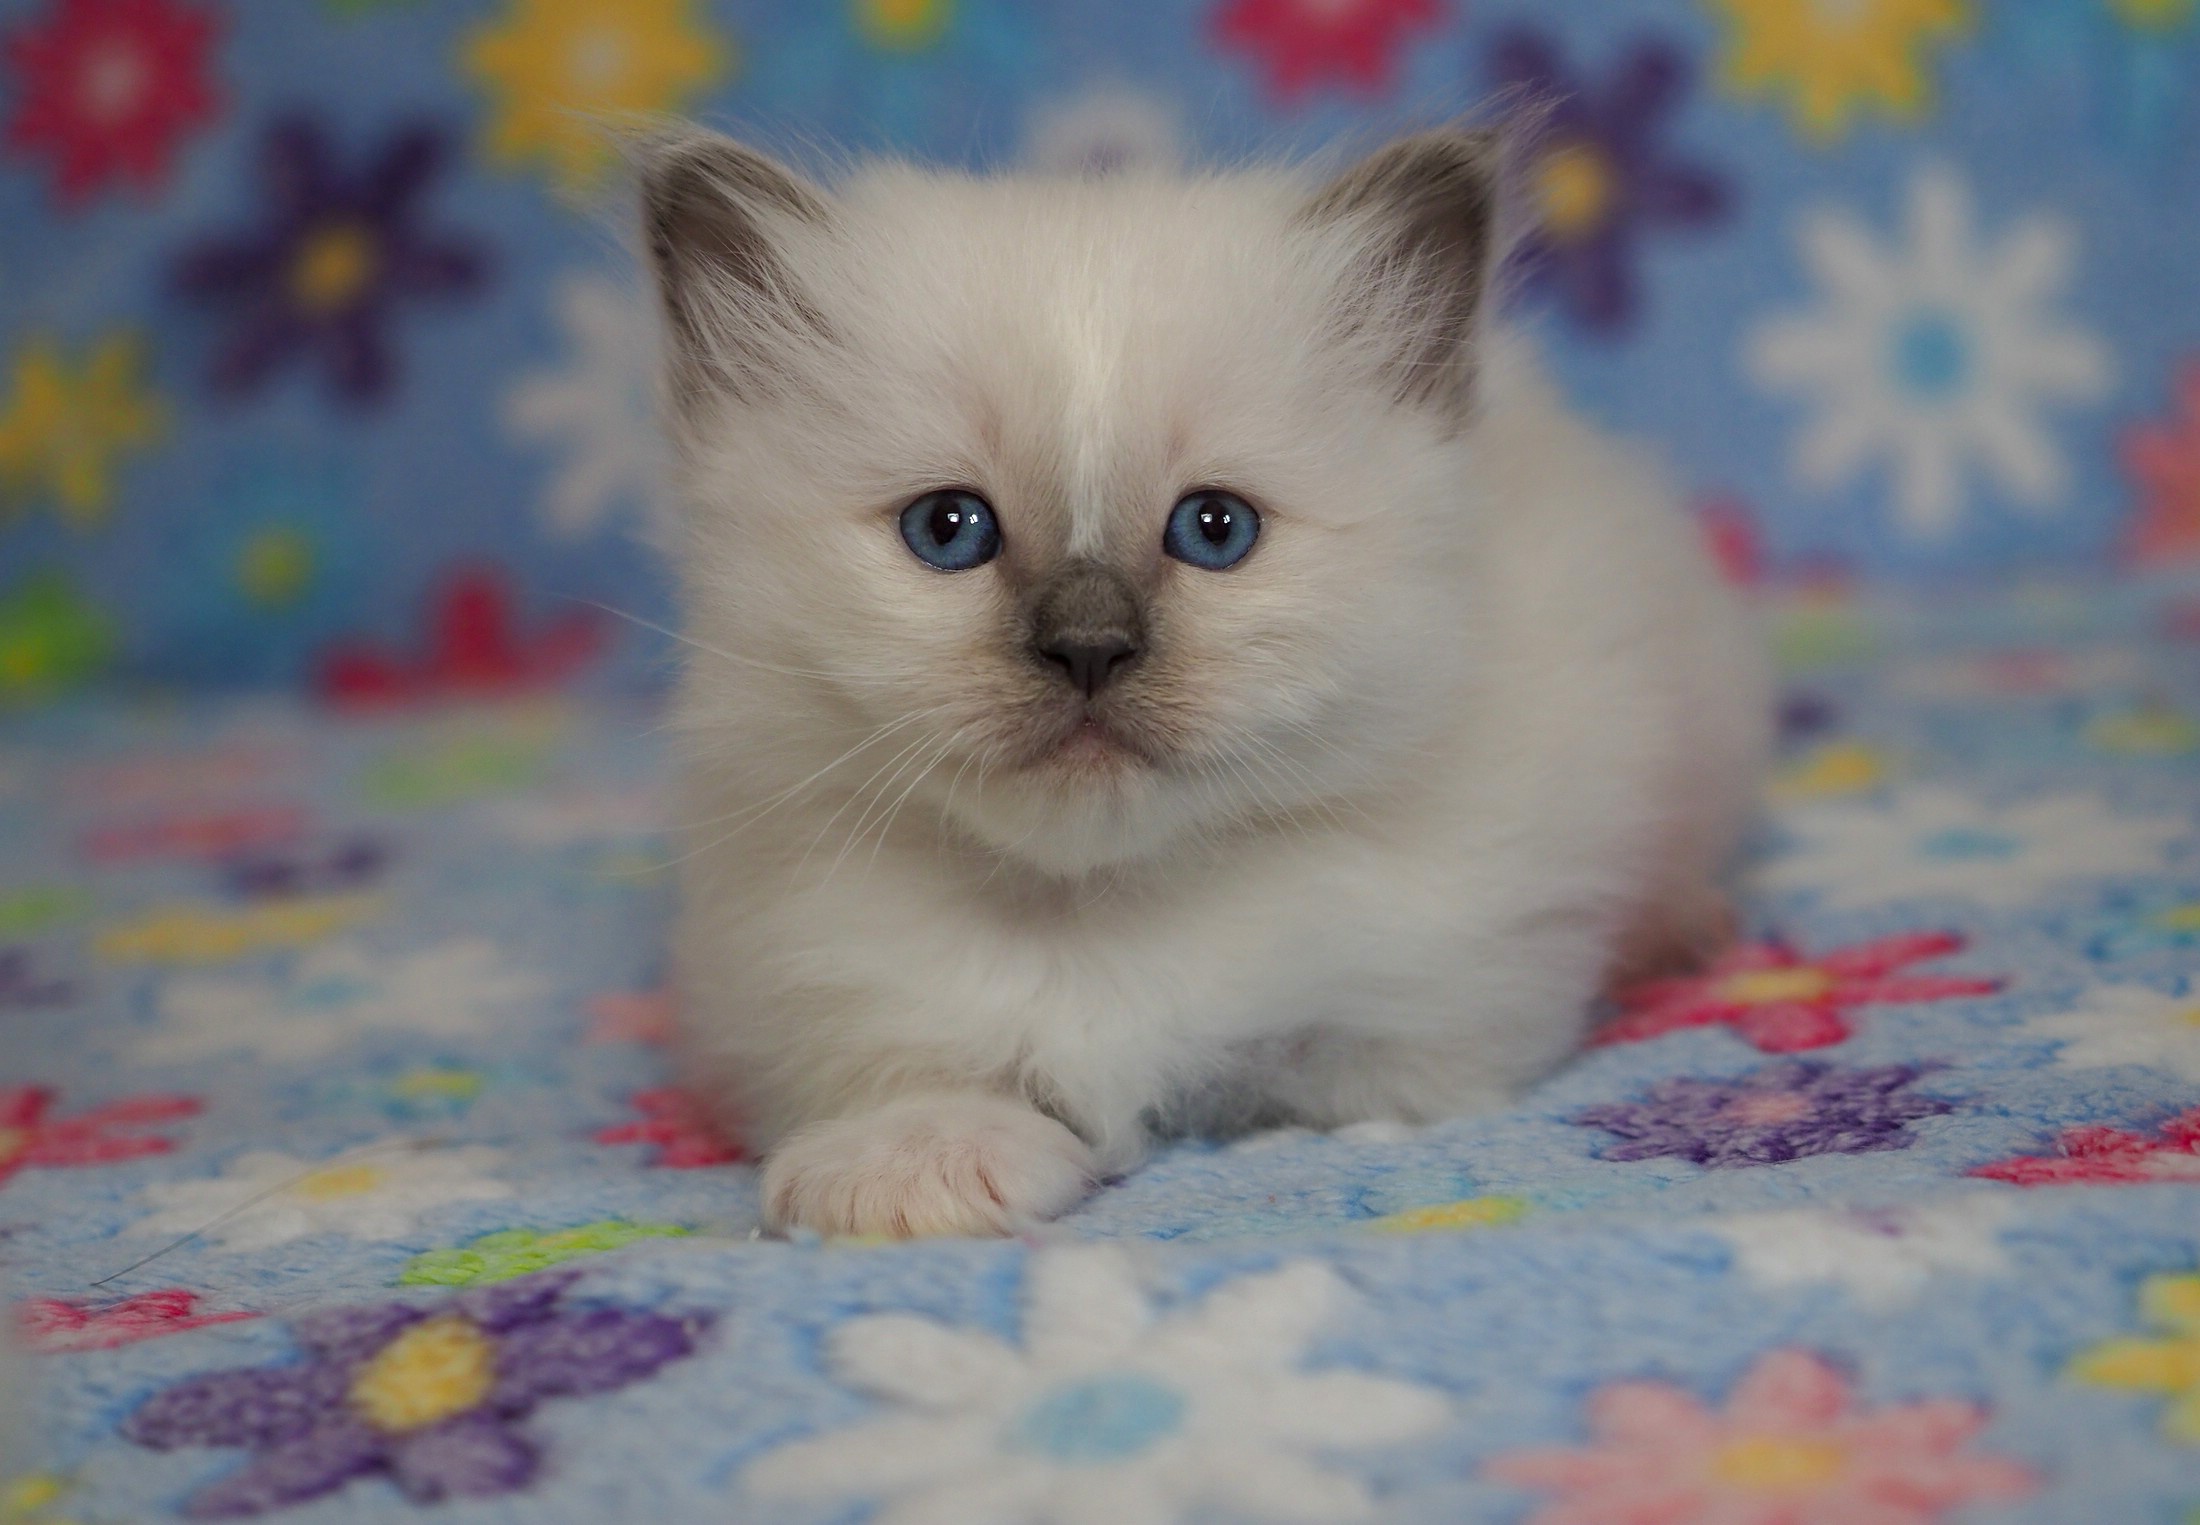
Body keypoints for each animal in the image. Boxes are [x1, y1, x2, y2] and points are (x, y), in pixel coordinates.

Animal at [642, 118, 1777, 1241]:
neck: (1100, 916)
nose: (1089, 644)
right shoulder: (804, 982)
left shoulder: (1434, 1017)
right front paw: (919, 1167)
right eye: (948, 530)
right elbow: (915, 1075)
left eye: (1215, 529)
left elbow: (1293, 1075)